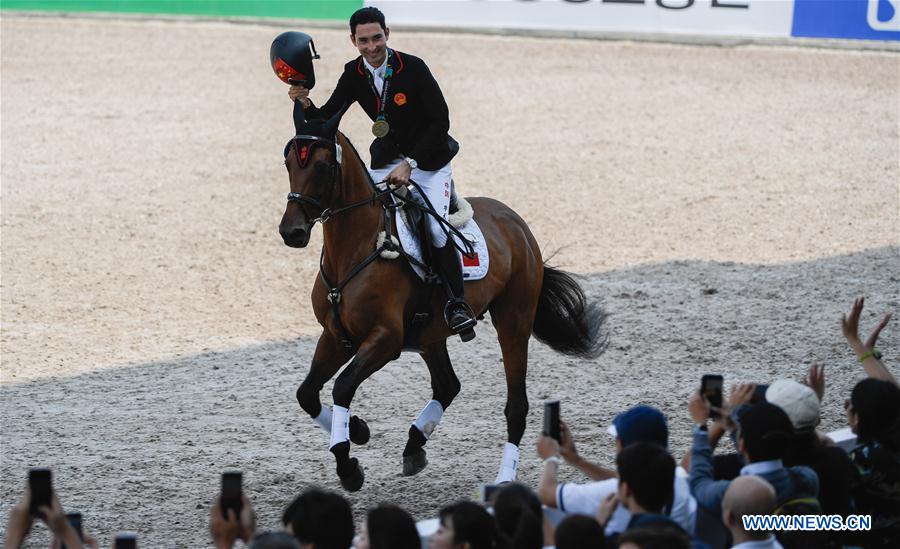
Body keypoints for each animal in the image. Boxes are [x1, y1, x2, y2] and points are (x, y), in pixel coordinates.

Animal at [278, 109, 608, 490]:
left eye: (321, 166)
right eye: (288, 162)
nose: (291, 232)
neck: (354, 250)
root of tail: (516, 222)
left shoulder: (385, 340)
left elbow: (343, 387)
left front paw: (348, 464)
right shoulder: (335, 337)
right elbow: (306, 393)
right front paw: (357, 430)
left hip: (514, 320)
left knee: (516, 406)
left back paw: (504, 478)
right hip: (430, 335)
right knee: (448, 385)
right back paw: (414, 445)